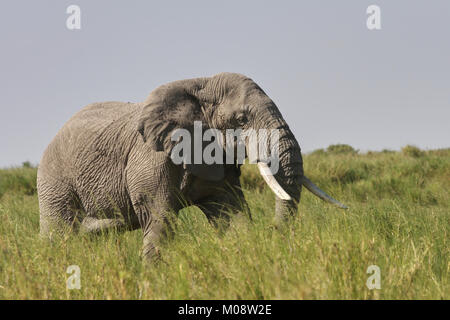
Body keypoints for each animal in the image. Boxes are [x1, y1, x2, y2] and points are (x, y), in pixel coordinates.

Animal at [38, 72, 348, 260]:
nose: (274, 231)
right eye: (242, 119)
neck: (201, 84)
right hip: (54, 179)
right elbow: (159, 216)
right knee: (58, 233)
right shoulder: (150, 158)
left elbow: (230, 213)